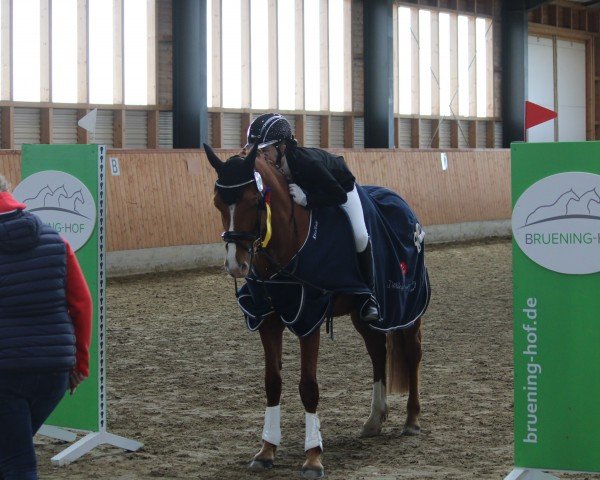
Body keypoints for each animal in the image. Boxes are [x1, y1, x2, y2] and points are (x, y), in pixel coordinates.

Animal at [204, 144, 424, 478]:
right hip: (362, 315)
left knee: (412, 354)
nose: (236, 266)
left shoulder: (310, 317)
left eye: (254, 201)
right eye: (218, 202)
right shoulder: (268, 320)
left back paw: (411, 420)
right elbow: (272, 382)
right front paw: (266, 451)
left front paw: (313, 457)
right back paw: (374, 420)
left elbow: (308, 386)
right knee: (377, 353)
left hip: (407, 308)